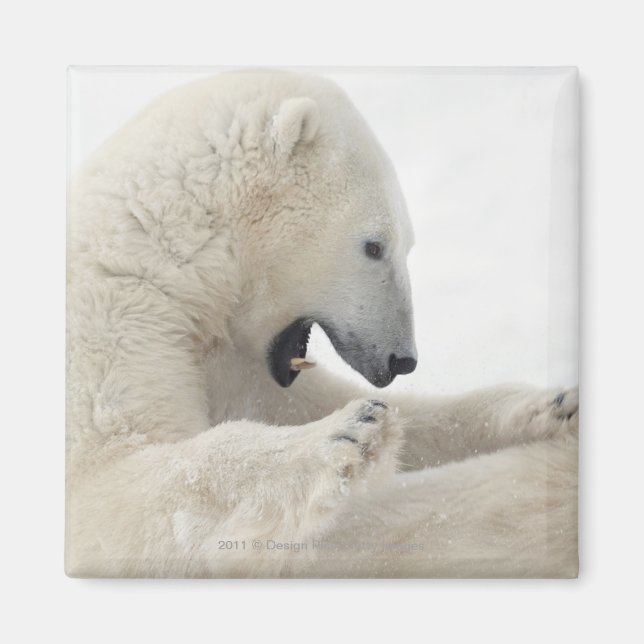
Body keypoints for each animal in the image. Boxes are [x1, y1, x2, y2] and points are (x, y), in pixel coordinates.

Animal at [66, 70, 578, 578]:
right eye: (374, 246)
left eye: (407, 244)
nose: (403, 359)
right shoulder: (113, 321)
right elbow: (111, 481)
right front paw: (349, 434)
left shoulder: (232, 361)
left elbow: (333, 406)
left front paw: (548, 406)